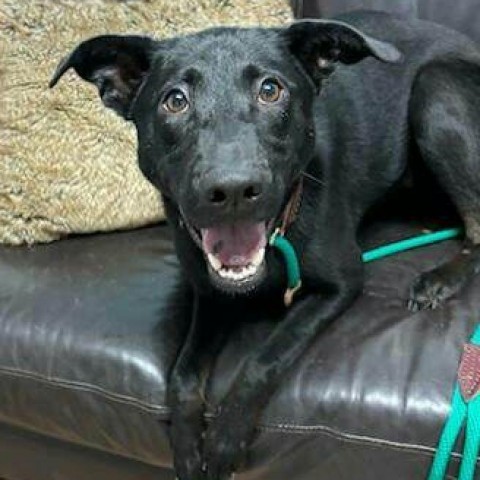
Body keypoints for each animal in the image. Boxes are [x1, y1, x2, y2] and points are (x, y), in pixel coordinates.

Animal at [50, 11, 480, 480]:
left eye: (271, 90)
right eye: (175, 100)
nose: (233, 190)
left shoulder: (342, 282)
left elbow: (266, 355)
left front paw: (224, 438)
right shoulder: (210, 295)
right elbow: (183, 374)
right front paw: (187, 447)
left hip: (434, 92)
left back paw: (440, 278)